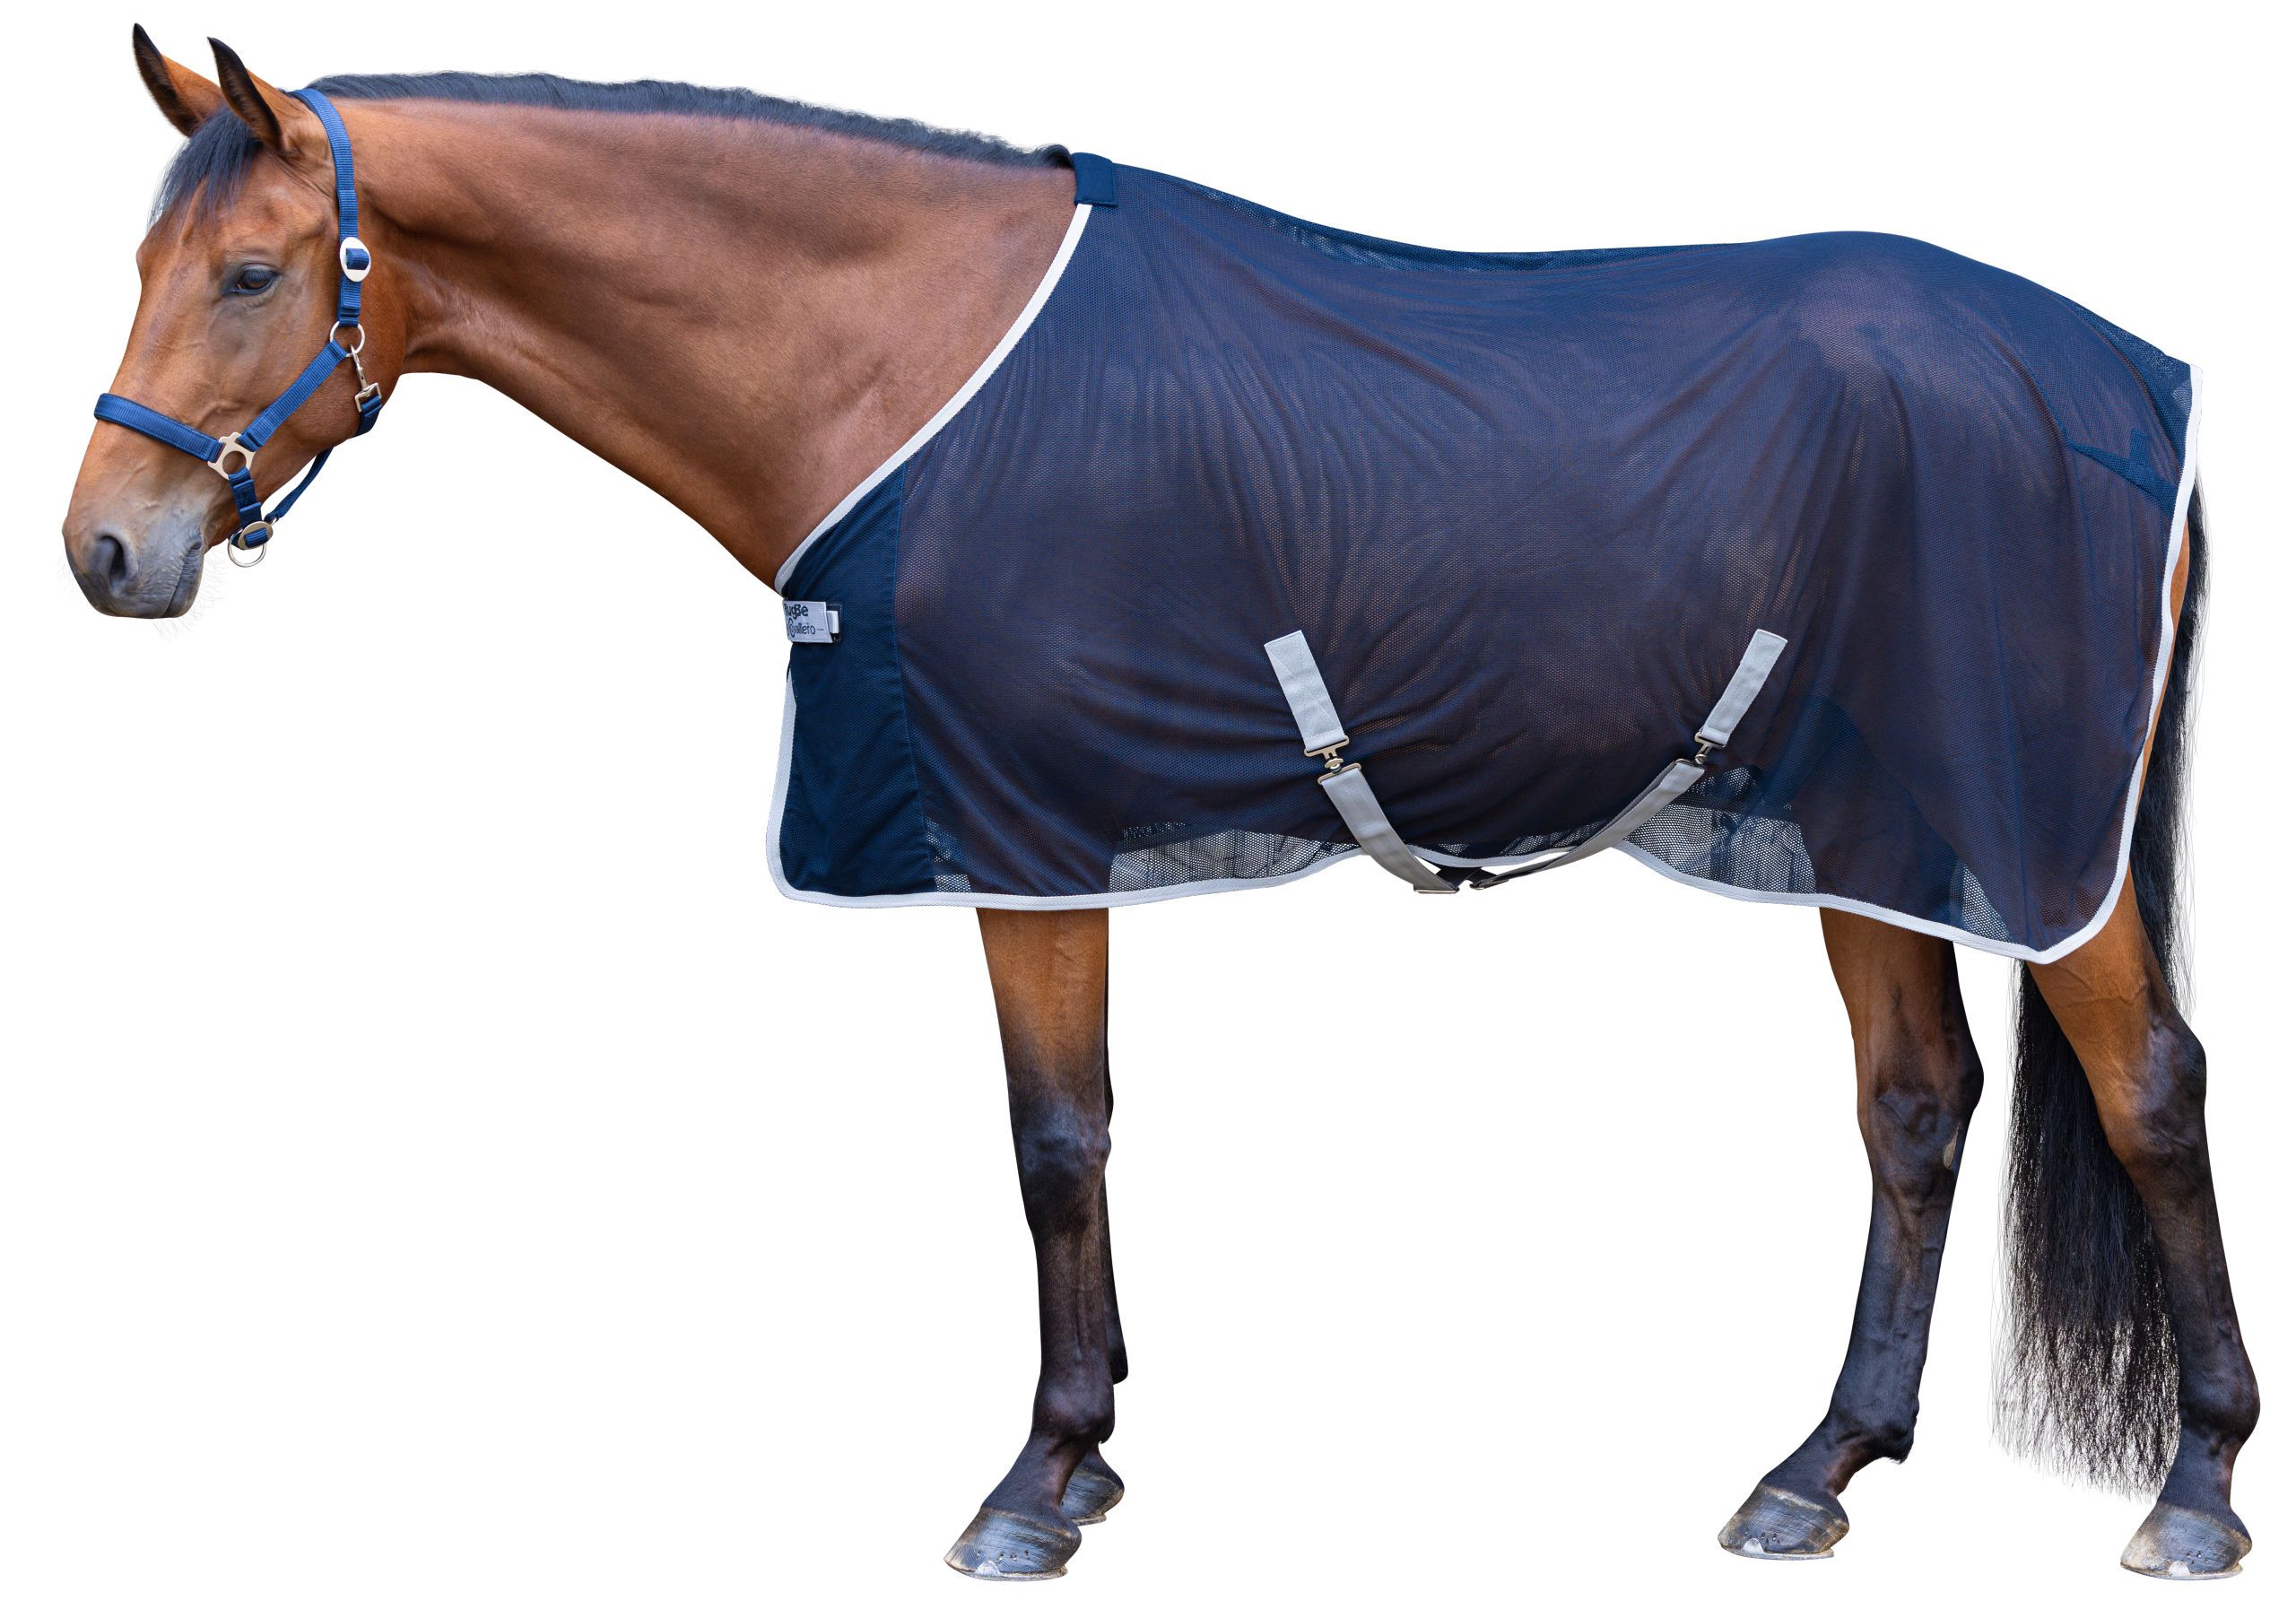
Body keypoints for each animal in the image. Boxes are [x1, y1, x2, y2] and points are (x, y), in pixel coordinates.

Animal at [63, 30, 2256, 1582]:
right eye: (149, 259)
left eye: (250, 273)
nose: (106, 550)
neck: (905, 358)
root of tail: (2130, 387)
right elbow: (1075, 1135)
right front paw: (1089, 1447)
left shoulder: (1018, 831)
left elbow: (1053, 1141)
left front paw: (1038, 1477)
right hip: (1862, 824)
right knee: (1915, 1106)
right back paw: (1815, 1472)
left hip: (2023, 838)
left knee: (2144, 1083)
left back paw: (2196, 1487)